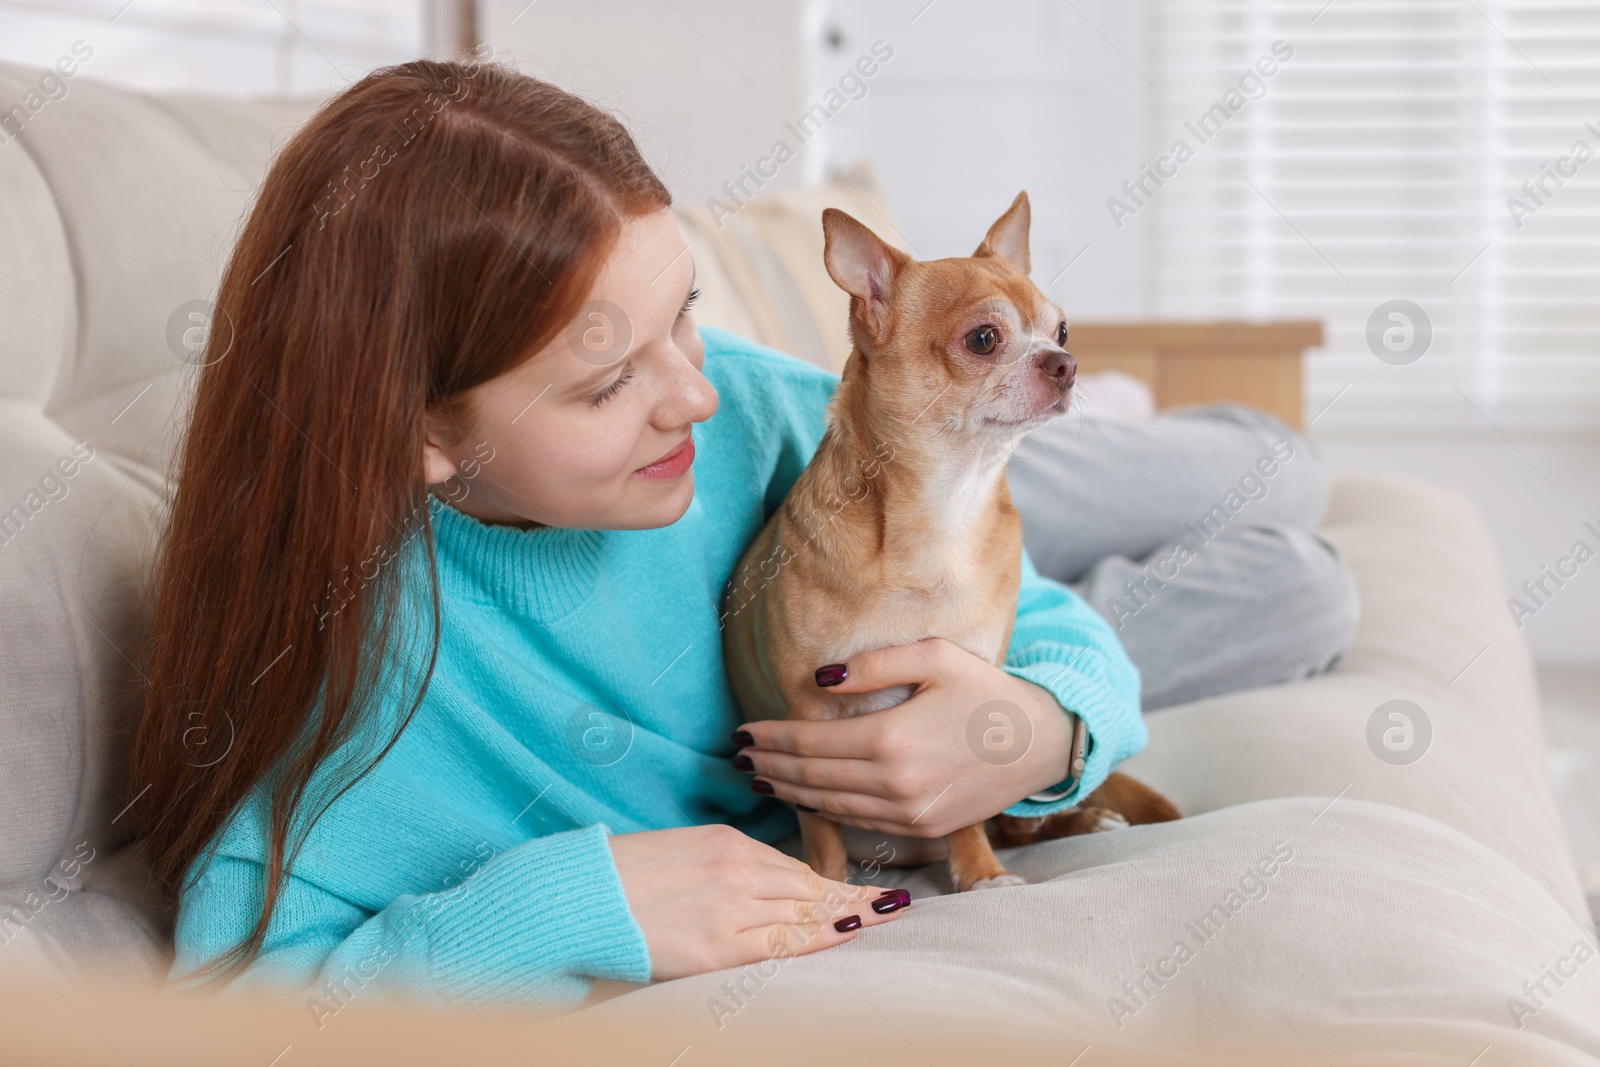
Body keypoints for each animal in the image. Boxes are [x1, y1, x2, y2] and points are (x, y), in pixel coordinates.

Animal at [723, 194, 1177, 895]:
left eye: (1062, 331)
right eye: (983, 339)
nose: (1065, 363)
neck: (945, 509)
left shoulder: (969, 704)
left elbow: (963, 806)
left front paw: (980, 873)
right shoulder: (804, 720)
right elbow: (820, 829)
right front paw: (829, 884)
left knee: (1015, 823)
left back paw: (1084, 820)